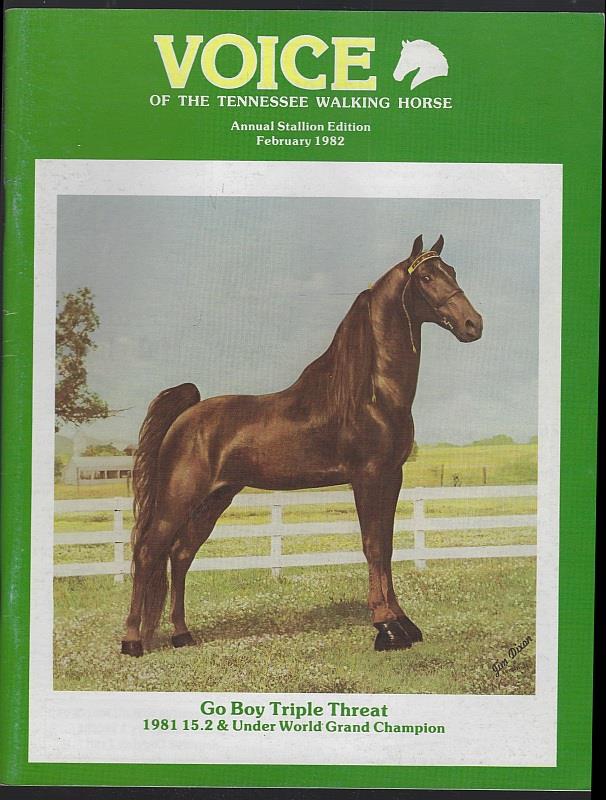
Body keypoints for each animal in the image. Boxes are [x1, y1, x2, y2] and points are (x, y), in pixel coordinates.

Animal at [121, 234, 483, 657]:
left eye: (451, 271)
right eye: (426, 277)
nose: (474, 324)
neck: (369, 393)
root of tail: (187, 414)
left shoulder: (392, 477)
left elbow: (389, 547)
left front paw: (404, 624)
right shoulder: (367, 477)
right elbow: (373, 546)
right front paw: (386, 627)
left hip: (215, 498)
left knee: (180, 555)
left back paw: (182, 634)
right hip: (178, 497)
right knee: (148, 552)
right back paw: (131, 641)